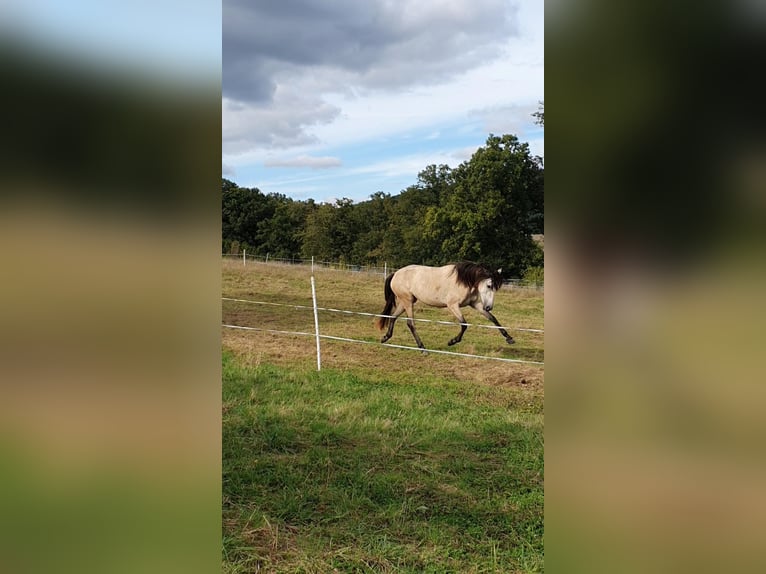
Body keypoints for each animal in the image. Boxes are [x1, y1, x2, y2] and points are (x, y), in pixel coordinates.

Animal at [376, 262, 520, 352]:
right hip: (407, 301)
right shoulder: (453, 305)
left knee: (393, 317)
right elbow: (464, 324)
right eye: (489, 285)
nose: (489, 307)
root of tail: (395, 274)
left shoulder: (476, 305)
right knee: (410, 323)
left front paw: (509, 338)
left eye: (496, 288)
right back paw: (422, 348)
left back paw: (385, 338)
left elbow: (493, 319)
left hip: (405, 301)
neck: (464, 281)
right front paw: (452, 341)